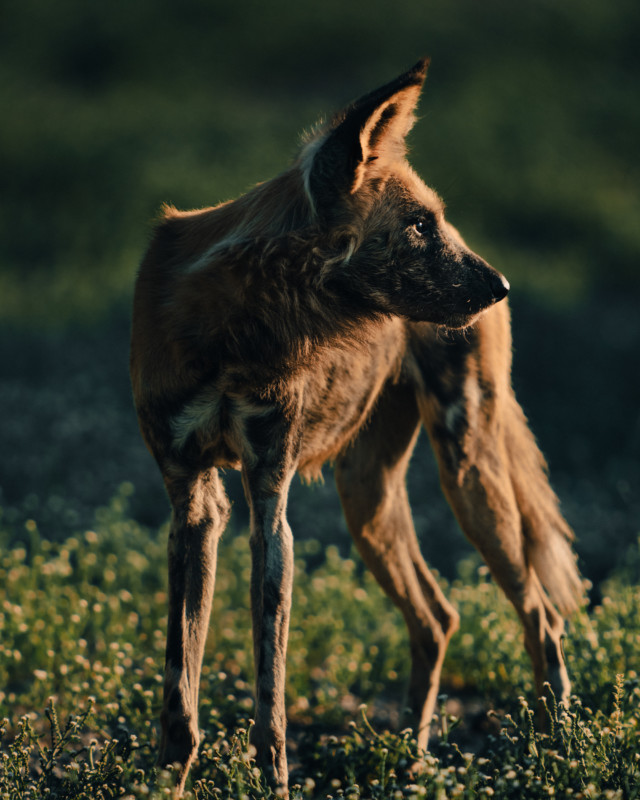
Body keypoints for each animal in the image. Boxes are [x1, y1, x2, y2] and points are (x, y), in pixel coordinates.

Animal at [130, 61, 584, 792]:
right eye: (419, 225)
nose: (502, 287)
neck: (239, 328)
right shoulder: (194, 503)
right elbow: (181, 696)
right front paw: (165, 785)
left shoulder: (268, 503)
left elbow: (270, 705)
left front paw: (274, 785)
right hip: (366, 500)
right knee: (437, 616)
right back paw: (412, 762)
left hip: (470, 477)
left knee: (540, 615)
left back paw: (553, 756)